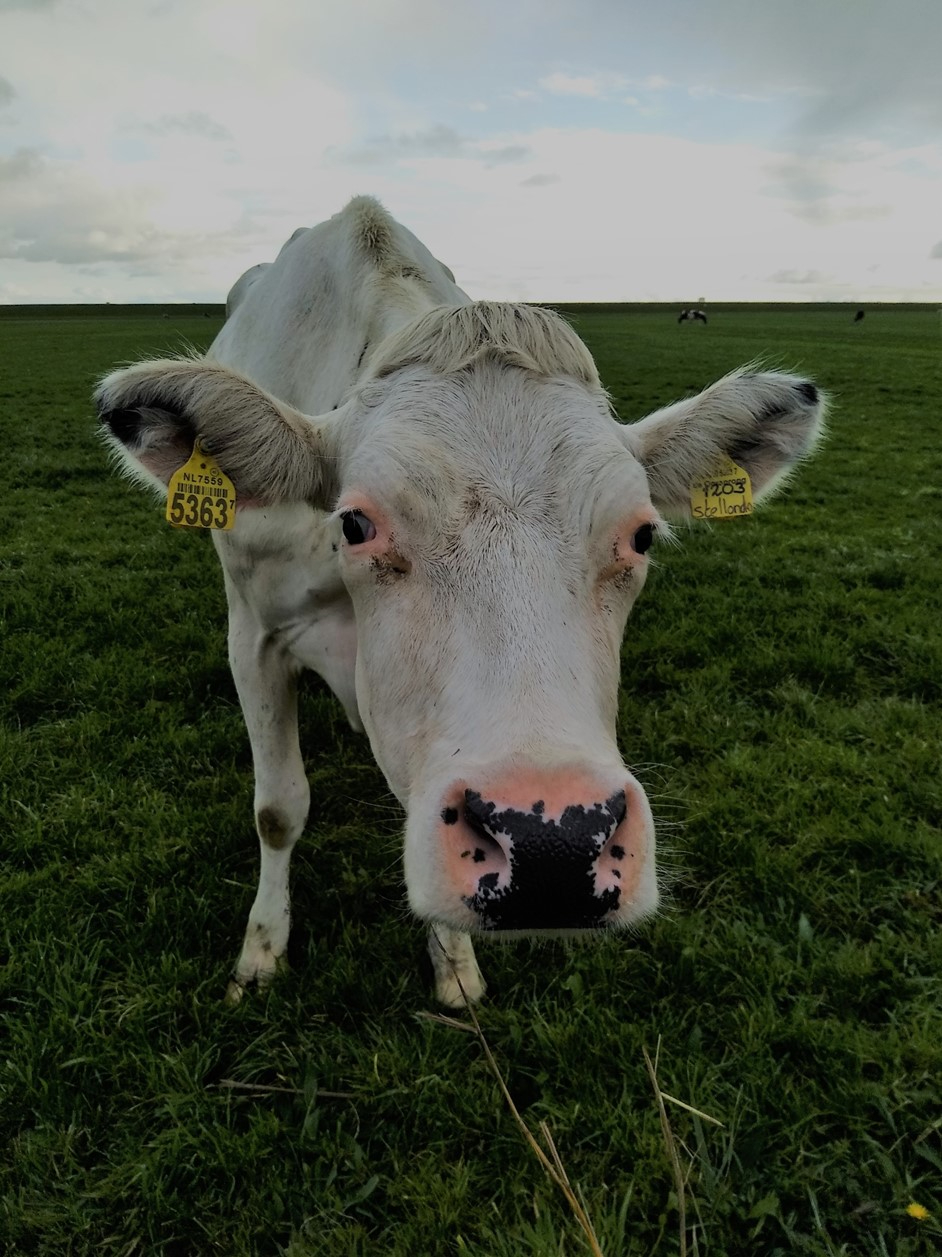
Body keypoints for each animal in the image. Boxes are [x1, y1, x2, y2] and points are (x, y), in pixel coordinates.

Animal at [97, 196, 825, 1005]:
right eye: (355, 522)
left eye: (641, 535)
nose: (551, 844)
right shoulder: (253, 636)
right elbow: (278, 809)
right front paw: (262, 949)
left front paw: (453, 963)